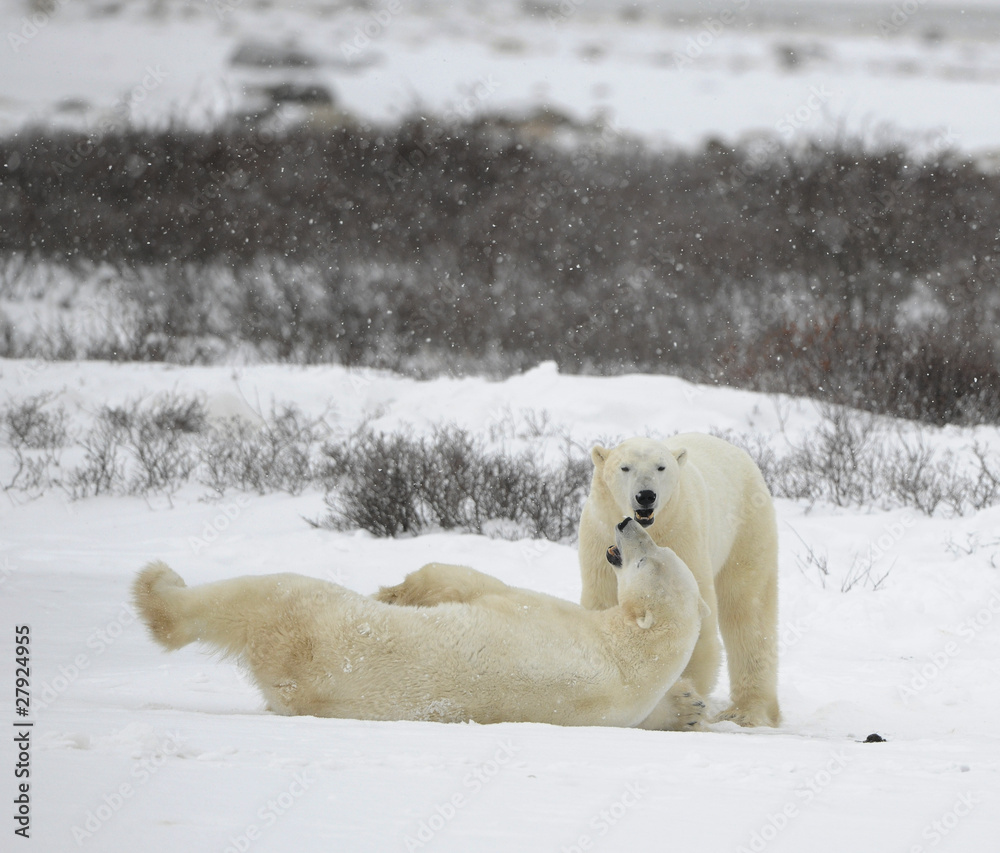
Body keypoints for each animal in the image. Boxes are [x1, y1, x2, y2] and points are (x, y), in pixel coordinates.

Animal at [132, 518, 708, 727]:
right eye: (659, 549)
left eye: (646, 559)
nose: (628, 521)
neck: (626, 655)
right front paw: (689, 704)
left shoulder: (539, 613)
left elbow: (471, 584)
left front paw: (397, 589)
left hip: (311, 622)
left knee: (258, 593)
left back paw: (157, 586)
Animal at [578, 434, 781, 729]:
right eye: (625, 468)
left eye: (661, 467)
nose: (646, 495)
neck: (654, 528)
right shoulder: (598, 541)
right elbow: (604, 608)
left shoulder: (683, 535)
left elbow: (691, 626)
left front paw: (683, 703)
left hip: (746, 526)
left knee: (748, 608)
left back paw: (746, 711)